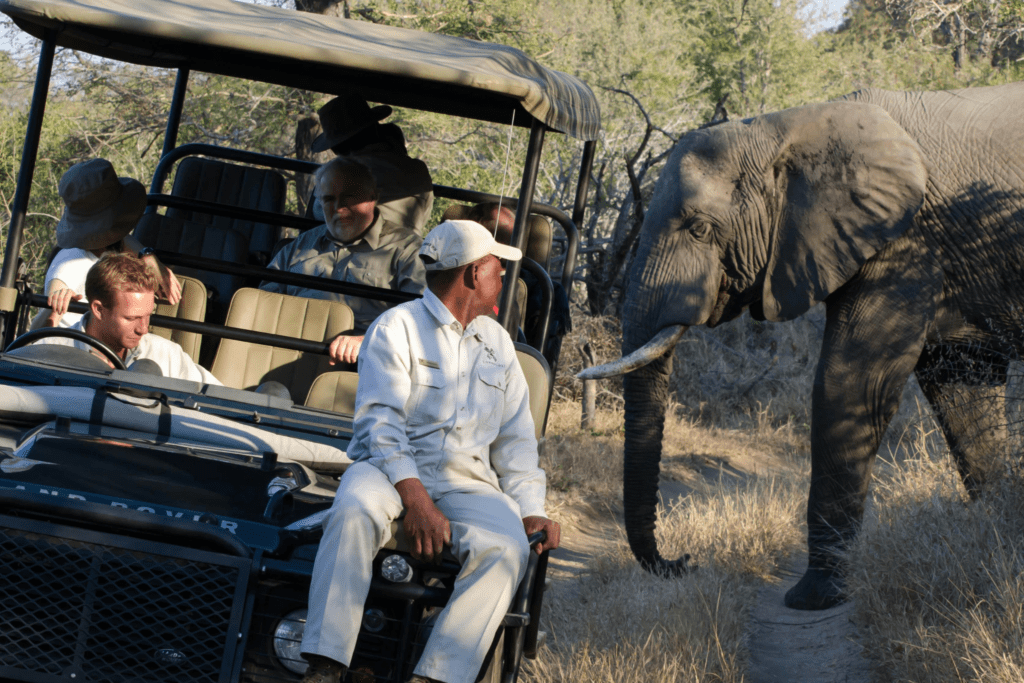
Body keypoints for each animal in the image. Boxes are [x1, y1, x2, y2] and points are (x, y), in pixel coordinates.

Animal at [580, 82, 1024, 610]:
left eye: (699, 229)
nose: (684, 560)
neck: (783, 129)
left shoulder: (904, 243)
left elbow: (850, 385)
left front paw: (814, 597)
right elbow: (963, 390)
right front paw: (993, 529)